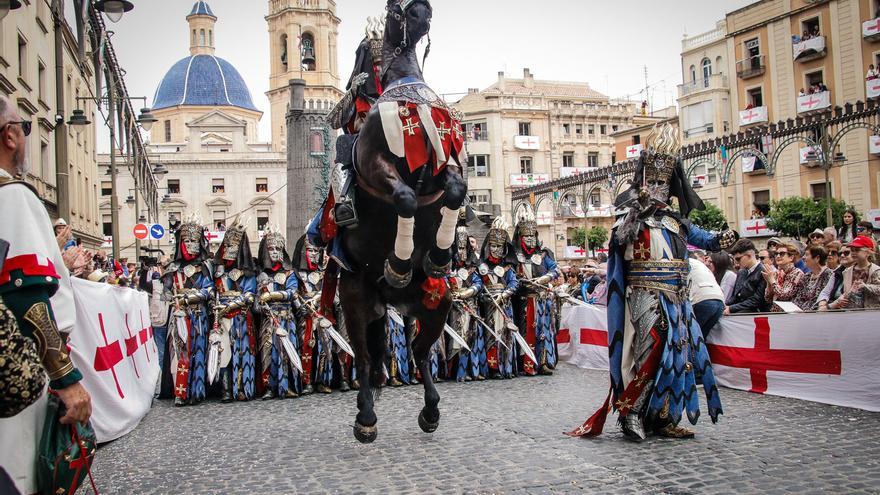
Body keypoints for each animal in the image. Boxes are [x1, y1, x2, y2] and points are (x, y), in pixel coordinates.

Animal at [338, 0, 468, 444]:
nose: (419, 10)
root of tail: (389, 300)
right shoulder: (378, 163)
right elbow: (406, 198)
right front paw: (399, 260)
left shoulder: (447, 161)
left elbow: (455, 190)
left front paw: (439, 255)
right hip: (356, 302)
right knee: (364, 359)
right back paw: (365, 418)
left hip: (434, 304)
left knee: (421, 353)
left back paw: (430, 410)